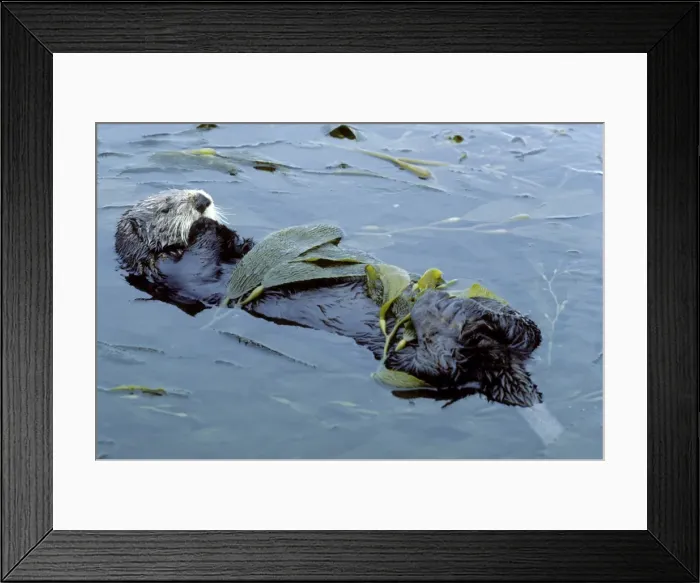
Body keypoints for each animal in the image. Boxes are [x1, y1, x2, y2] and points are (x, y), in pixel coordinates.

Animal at [114, 189, 543, 407]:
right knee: (444, 364)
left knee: (525, 336)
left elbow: (239, 244)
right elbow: (200, 259)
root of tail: (499, 360)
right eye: (166, 206)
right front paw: (205, 224)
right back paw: (442, 315)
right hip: (411, 362)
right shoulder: (175, 273)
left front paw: (222, 223)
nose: (201, 198)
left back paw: (491, 311)